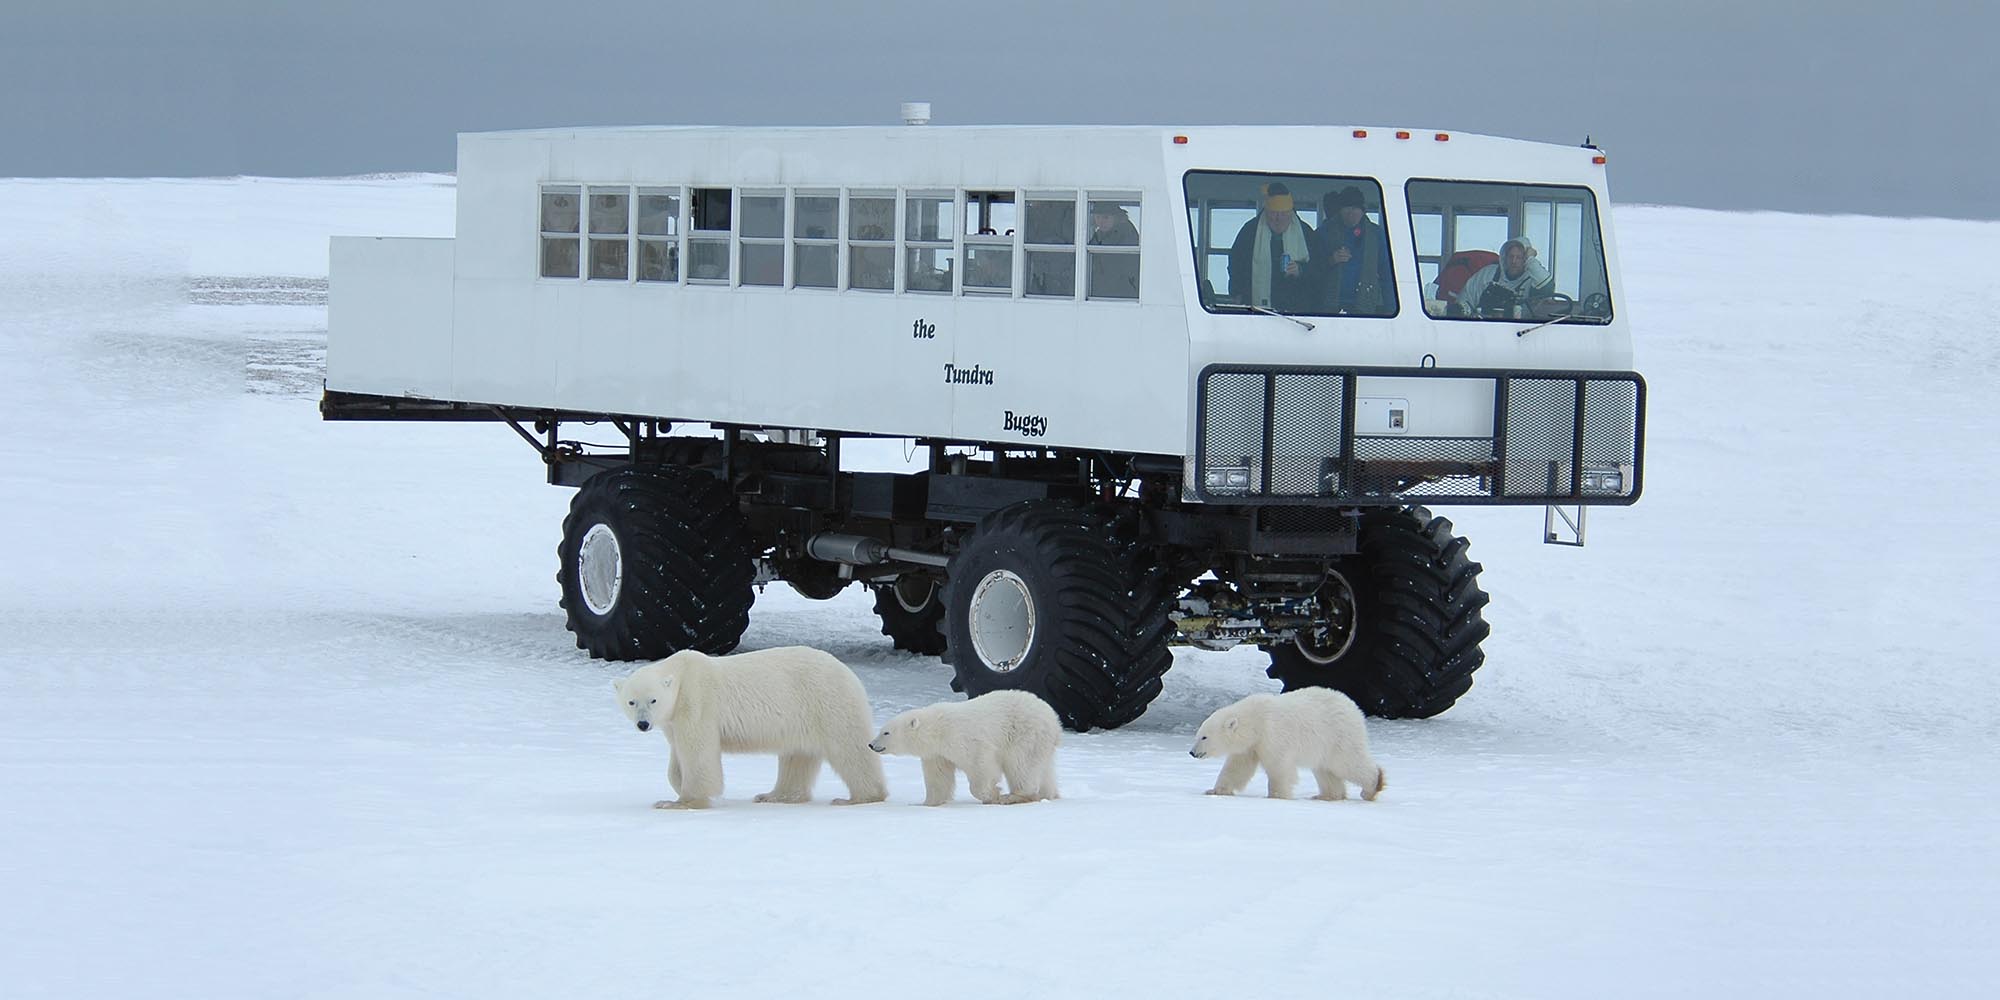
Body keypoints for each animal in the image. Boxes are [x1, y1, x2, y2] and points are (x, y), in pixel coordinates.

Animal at [613, 646, 887, 809]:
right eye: (631, 701)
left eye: (653, 700)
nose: (643, 724)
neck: (681, 673)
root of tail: (849, 674)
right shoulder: (672, 720)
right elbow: (677, 757)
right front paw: (678, 787)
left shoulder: (696, 702)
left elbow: (698, 753)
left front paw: (680, 802)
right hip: (803, 718)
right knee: (797, 756)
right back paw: (773, 796)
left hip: (828, 702)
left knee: (850, 749)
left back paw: (859, 798)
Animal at [868, 690, 1061, 806]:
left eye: (886, 732)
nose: (871, 744)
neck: (937, 728)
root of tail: (1054, 721)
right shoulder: (937, 753)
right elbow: (938, 778)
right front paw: (927, 803)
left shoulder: (963, 738)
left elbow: (981, 765)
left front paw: (993, 794)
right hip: (1041, 742)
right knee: (1043, 769)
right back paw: (1048, 794)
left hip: (1025, 734)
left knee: (1021, 765)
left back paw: (1014, 796)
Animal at [1189, 688, 1385, 801]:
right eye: (1198, 735)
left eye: (1204, 737)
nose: (1192, 752)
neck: (1256, 721)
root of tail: (1353, 707)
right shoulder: (1251, 746)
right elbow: (1237, 768)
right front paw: (1215, 791)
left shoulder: (1272, 734)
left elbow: (1279, 767)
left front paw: (1276, 796)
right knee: (1325, 770)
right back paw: (1325, 796)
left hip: (1337, 735)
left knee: (1347, 762)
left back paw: (1372, 787)